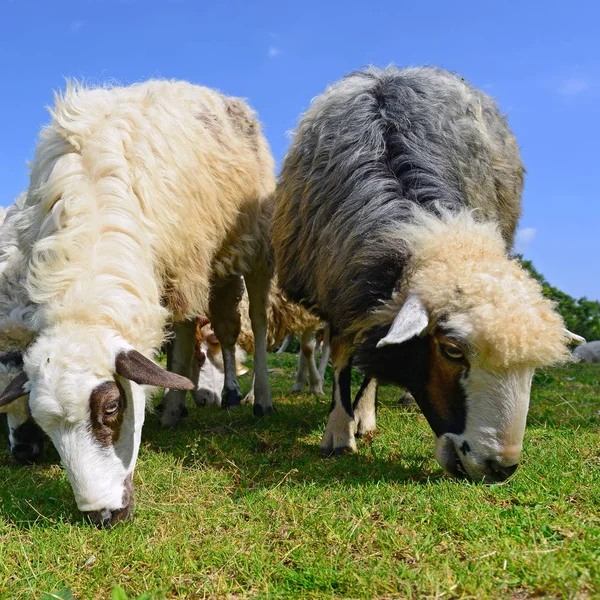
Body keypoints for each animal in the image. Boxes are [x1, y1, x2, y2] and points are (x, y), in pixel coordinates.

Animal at [0, 78, 276, 524]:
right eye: (45, 424)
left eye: (112, 407)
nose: (101, 515)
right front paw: (174, 406)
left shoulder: (181, 266)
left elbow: (185, 348)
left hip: (251, 244)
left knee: (248, 324)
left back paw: (254, 398)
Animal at [272, 65, 580, 482]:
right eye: (452, 350)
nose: (500, 468)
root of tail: (389, 71)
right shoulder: (339, 283)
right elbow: (342, 357)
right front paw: (338, 431)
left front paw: (358, 417)